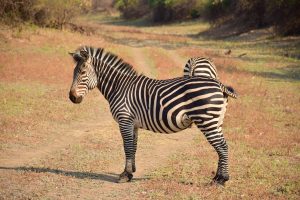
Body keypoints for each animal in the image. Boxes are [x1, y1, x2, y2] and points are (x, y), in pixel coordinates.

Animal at [68, 46, 237, 185]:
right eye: (73, 73)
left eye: (82, 72)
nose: (72, 97)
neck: (119, 86)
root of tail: (218, 83)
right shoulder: (133, 123)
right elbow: (133, 146)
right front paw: (131, 172)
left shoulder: (124, 120)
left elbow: (127, 146)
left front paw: (125, 175)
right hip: (216, 121)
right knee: (223, 146)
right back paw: (217, 177)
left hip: (207, 121)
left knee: (221, 146)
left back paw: (221, 180)